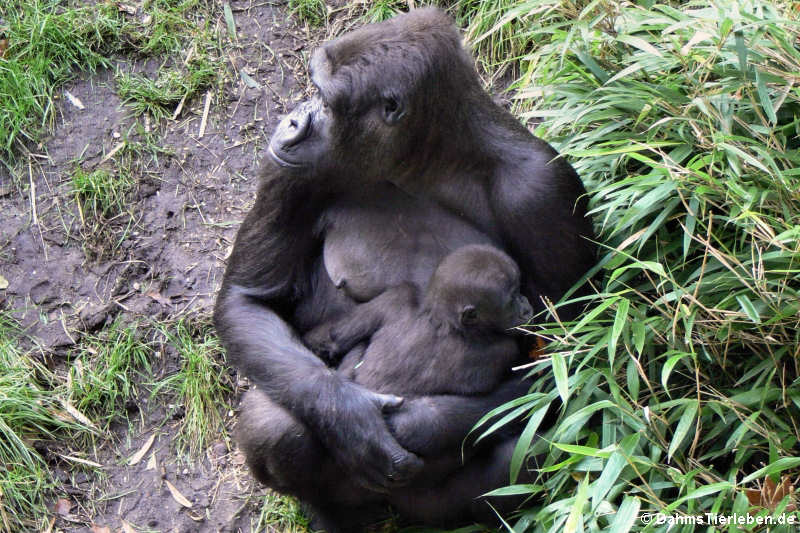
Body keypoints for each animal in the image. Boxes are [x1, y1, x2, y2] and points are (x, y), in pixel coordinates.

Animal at [304, 243, 536, 396]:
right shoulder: (503, 351)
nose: (526, 307)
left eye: (519, 291)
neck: (441, 321)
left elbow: (332, 336)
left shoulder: (399, 294)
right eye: (512, 299)